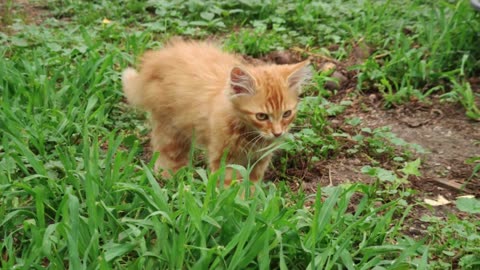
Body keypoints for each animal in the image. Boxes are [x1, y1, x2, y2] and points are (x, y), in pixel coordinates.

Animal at [121, 39, 312, 185]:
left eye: (286, 114)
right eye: (262, 116)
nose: (278, 133)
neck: (250, 135)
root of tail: (154, 60)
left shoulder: (259, 161)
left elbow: (251, 186)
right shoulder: (224, 159)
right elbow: (230, 187)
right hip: (170, 129)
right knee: (166, 157)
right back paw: (173, 181)